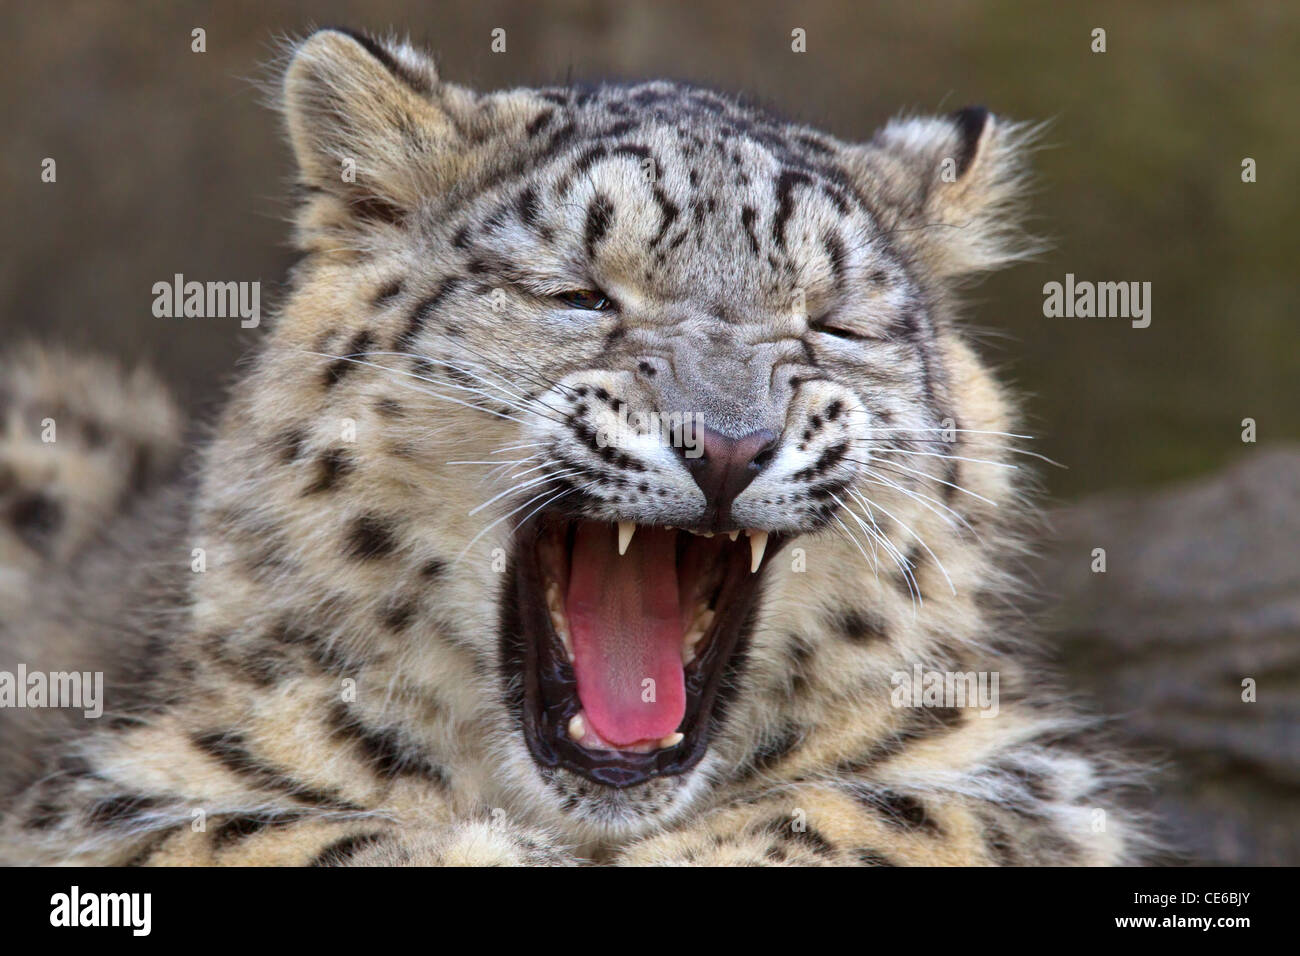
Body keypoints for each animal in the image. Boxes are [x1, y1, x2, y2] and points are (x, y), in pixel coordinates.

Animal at [0, 28, 1148, 865]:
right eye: (578, 295)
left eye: (832, 324)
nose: (724, 444)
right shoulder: (131, 786)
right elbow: (284, 835)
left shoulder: (1001, 760)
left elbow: (884, 813)